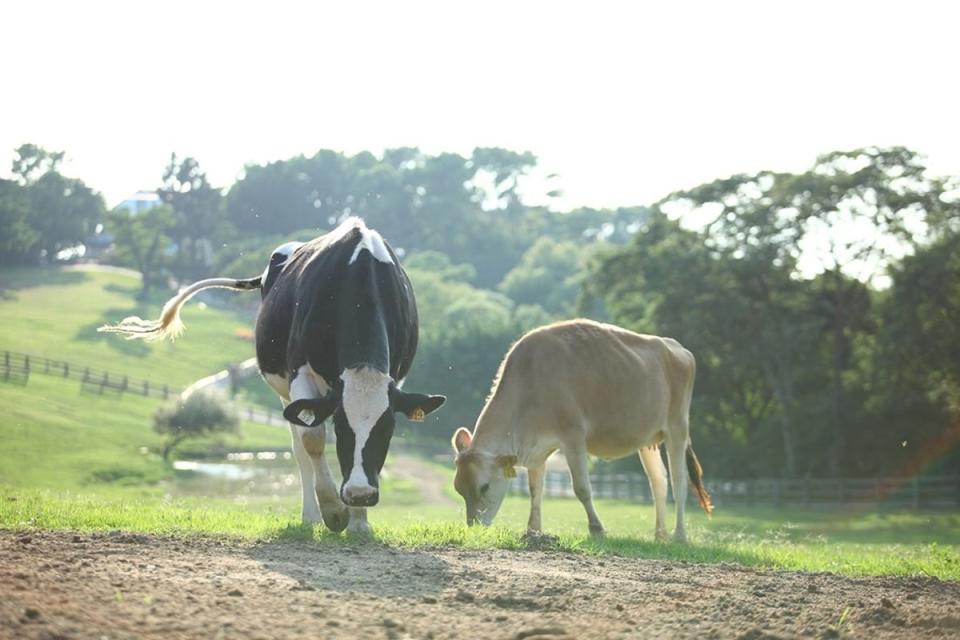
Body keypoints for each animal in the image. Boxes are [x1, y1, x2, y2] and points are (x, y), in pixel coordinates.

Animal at [101, 218, 446, 532]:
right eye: (342, 427)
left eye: (387, 429)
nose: (360, 494)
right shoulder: (299, 374)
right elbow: (313, 440)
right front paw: (334, 510)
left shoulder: (394, 379)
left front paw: (359, 522)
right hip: (286, 394)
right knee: (299, 447)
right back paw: (311, 516)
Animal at [452, 318, 712, 540]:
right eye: (458, 489)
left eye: (484, 486)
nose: (474, 527)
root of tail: (677, 347)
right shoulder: (537, 448)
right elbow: (535, 490)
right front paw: (533, 531)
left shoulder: (573, 436)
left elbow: (581, 488)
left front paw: (597, 529)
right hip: (648, 439)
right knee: (659, 481)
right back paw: (660, 535)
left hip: (677, 428)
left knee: (679, 481)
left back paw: (680, 535)